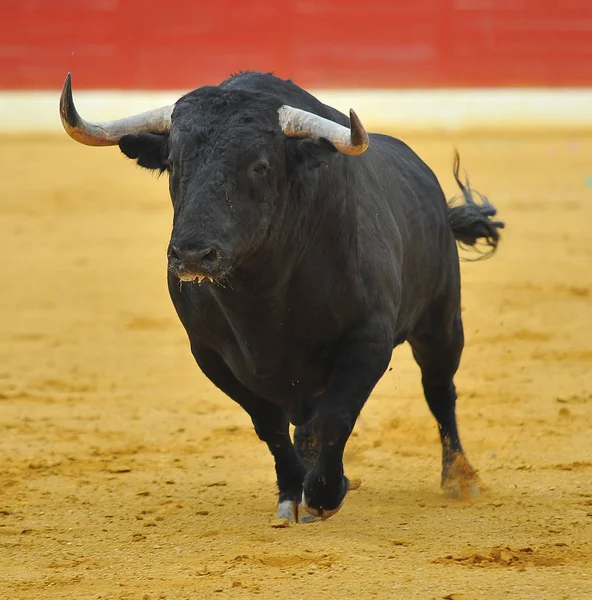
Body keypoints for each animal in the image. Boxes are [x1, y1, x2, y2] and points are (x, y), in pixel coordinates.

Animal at [60, 70, 504, 520]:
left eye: (260, 165)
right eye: (174, 164)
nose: (192, 255)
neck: (262, 293)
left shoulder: (368, 339)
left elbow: (337, 417)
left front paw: (324, 494)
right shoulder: (210, 354)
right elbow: (269, 424)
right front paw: (293, 492)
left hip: (441, 320)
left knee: (439, 389)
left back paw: (459, 478)